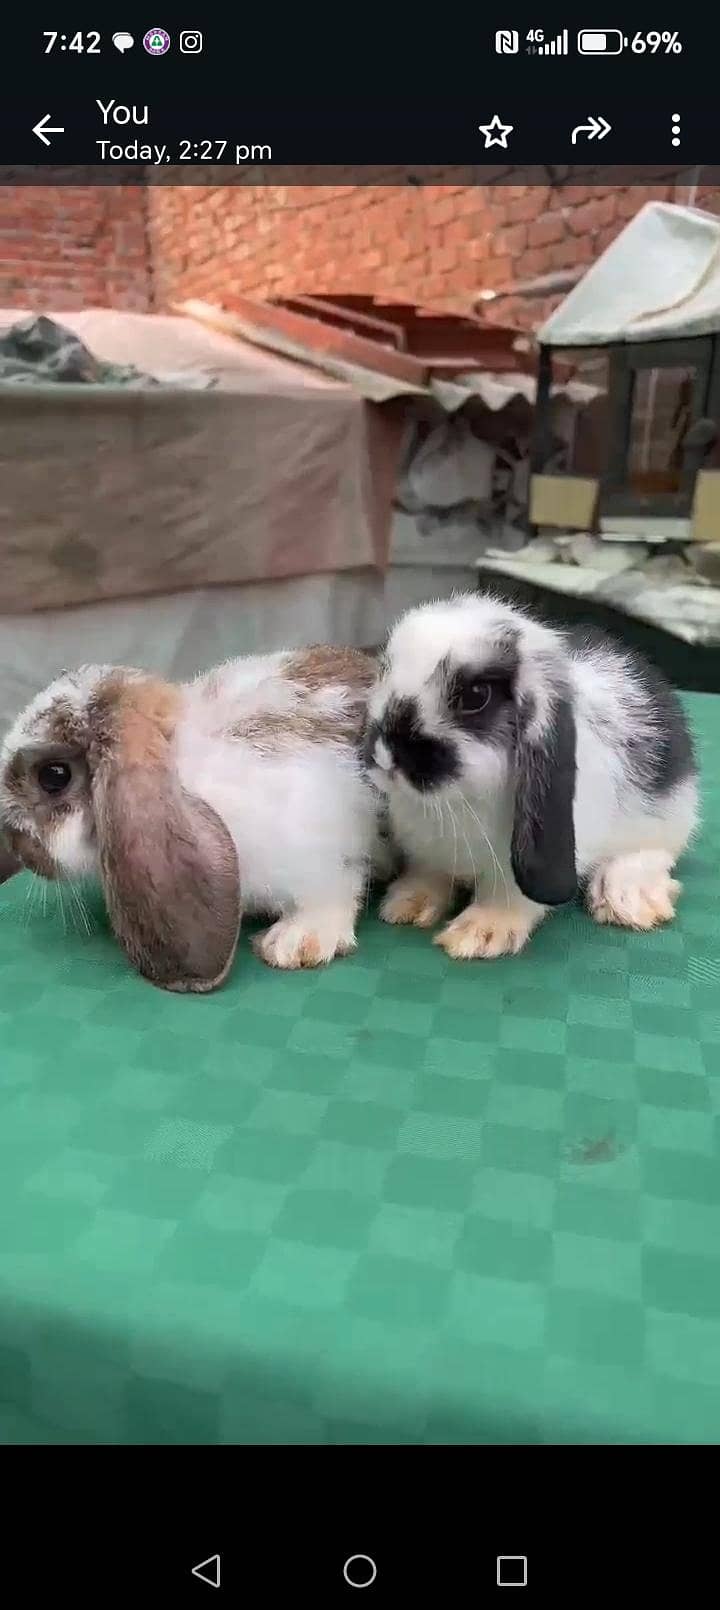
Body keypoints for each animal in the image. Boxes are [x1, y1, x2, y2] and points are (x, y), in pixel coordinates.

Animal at [363, 593, 699, 960]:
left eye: (476, 696)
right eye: (384, 669)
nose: (384, 754)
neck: (456, 801)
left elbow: (508, 894)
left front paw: (480, 933)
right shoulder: (426, 850)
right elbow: (428, 872)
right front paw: (407, 903)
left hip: (668, 818)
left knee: (654, 853)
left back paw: (627, 899)